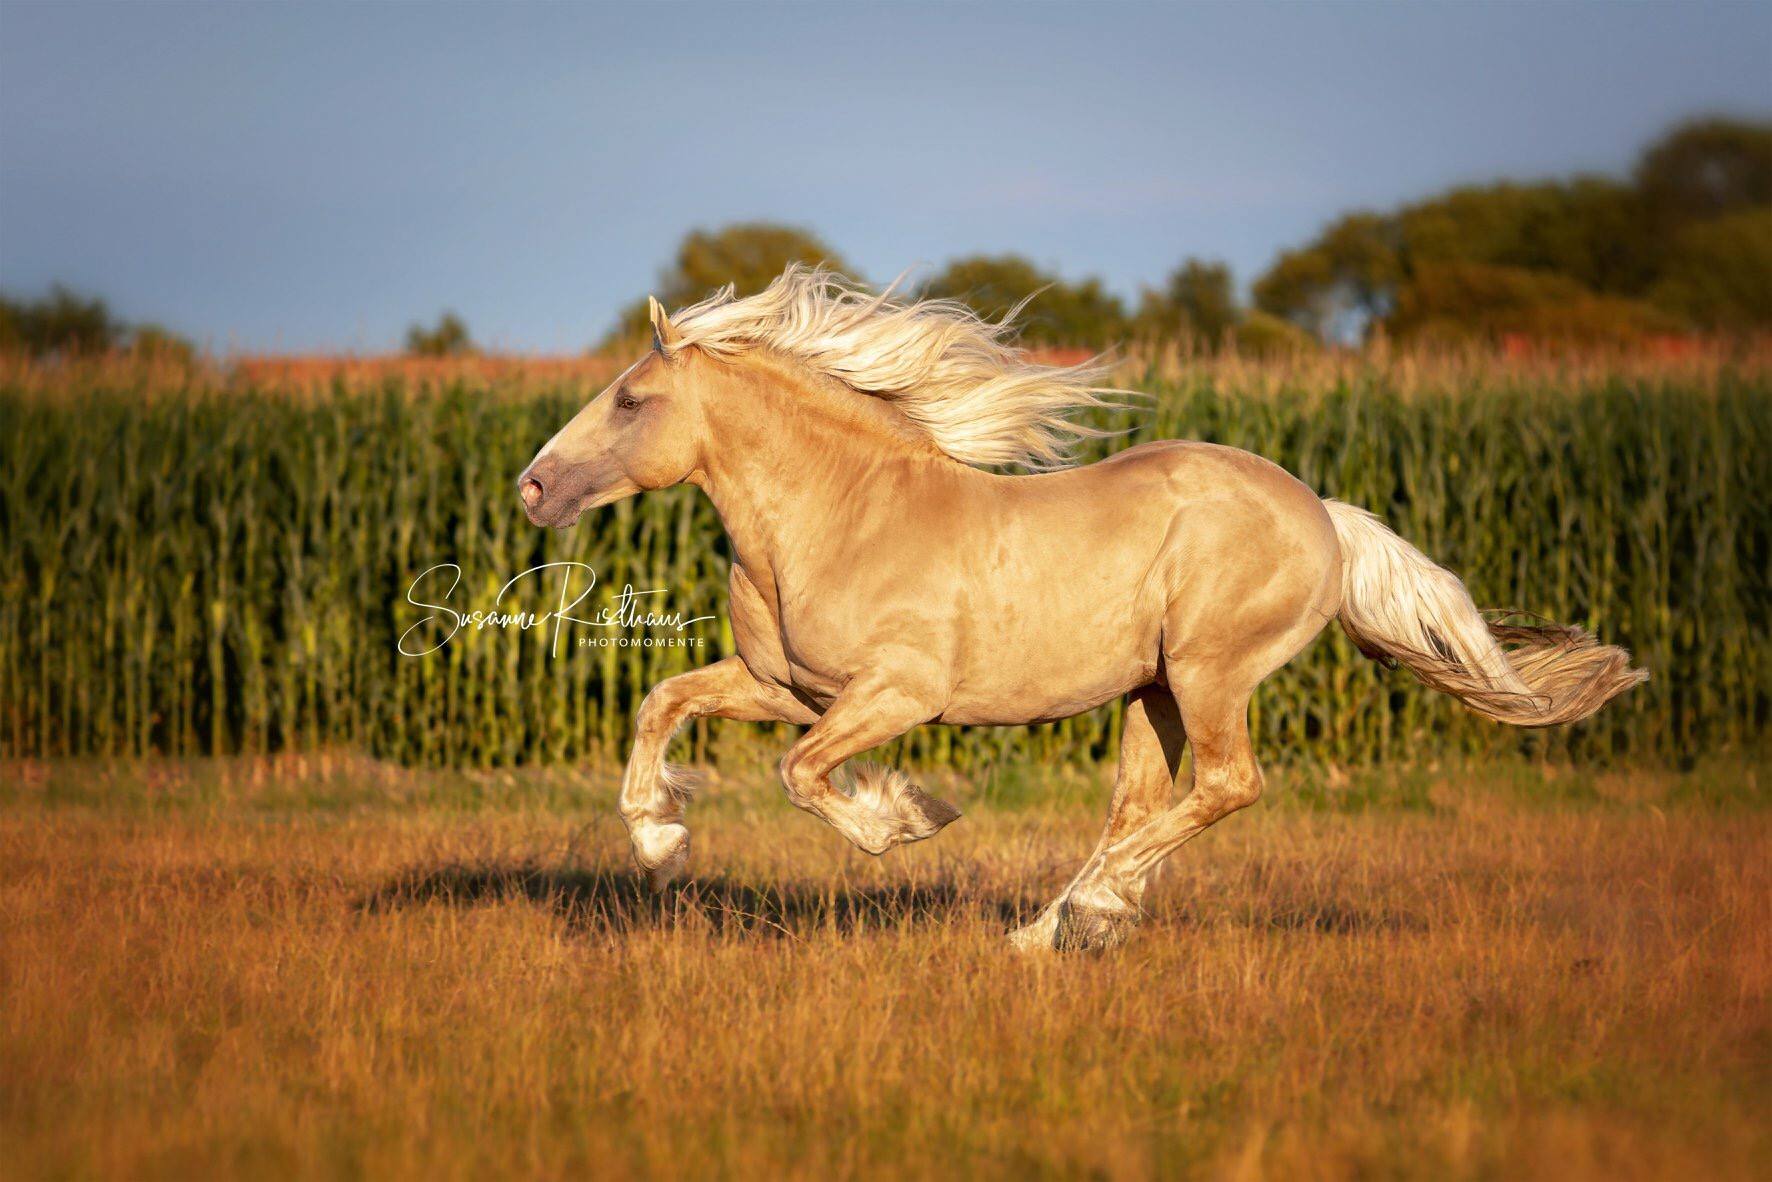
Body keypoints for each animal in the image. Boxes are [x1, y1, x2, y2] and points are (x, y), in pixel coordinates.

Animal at [517, 267, 1644, 949]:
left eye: (629, 400)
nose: (531, 489)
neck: (840, 514)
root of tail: (1321, 513)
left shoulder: (895, 696)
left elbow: (801, 777)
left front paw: (907, 819)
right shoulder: (788, 688)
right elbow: (662, 702)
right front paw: (659, 843)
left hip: (1209, 673)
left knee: (1227, 786)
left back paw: (1073, 918)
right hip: (1154, 691)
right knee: (1143, 805)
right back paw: (1054, 929)